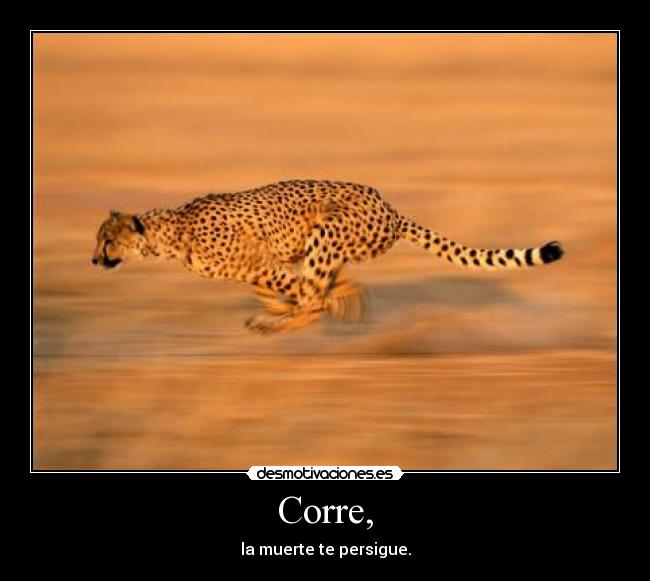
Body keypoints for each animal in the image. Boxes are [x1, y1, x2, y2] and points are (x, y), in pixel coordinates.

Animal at [91, 179, 564, 334]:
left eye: (107, 241)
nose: (94, 261)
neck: (171, 232)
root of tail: (390, 207)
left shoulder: (260, 262)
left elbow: (299, 290)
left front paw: (286, 309)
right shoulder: (255, 267)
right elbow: (279, 288)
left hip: (328, 229)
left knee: (313, 295)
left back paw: (278, 324)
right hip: (332, 241)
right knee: (323, 286)